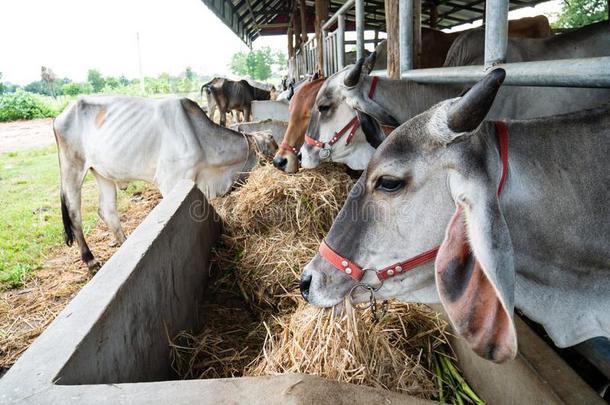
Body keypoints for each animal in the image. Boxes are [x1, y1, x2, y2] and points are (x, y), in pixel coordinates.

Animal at [53, 96, 276, 270]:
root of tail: (60, 116)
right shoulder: (171, 183)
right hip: (72, 167)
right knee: (74, 214)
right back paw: (90, 259)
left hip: (102, 173)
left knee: (107, 210)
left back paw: (123, 243)